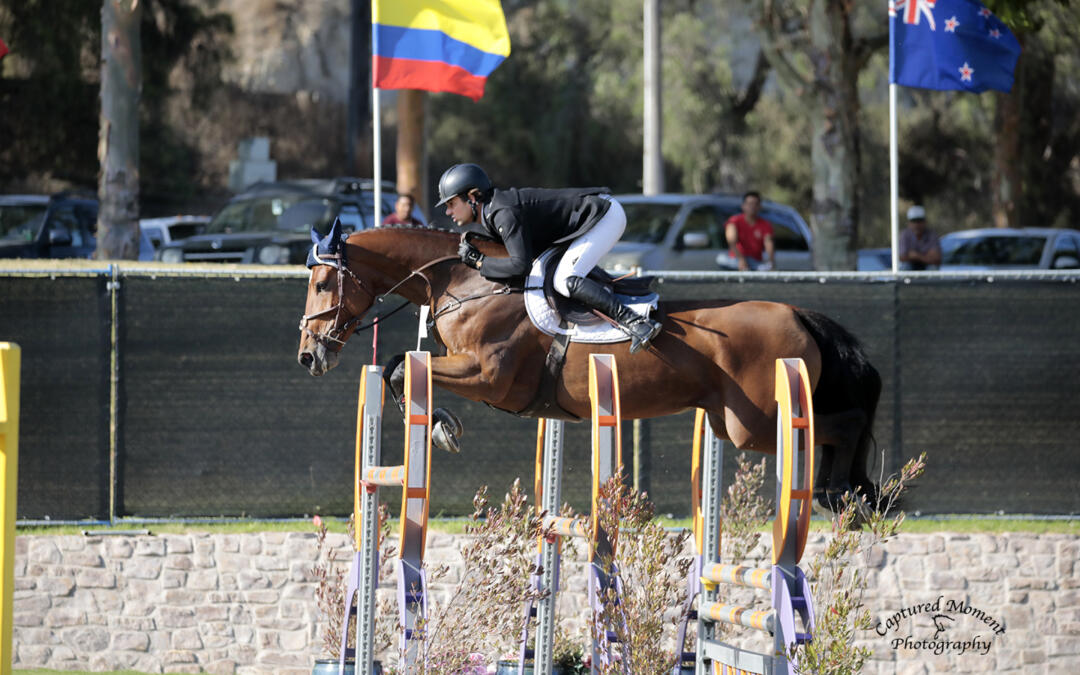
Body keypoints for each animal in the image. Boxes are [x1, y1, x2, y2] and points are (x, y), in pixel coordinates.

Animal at [293, 223, 876, 507]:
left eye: (321, 283)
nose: (308, 355)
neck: (469, 281)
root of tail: (800, 314)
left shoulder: (488, 375)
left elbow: (399, 365)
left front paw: (442, 428)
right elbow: (398, 368)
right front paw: (441, 425)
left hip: (751, 423)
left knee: (840, 426)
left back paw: (838, 493)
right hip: (735, 421)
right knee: (830, 431)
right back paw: (841, 493)